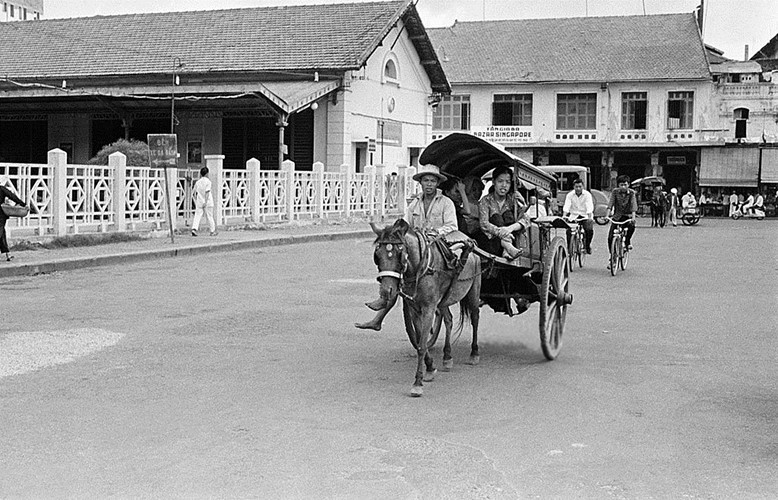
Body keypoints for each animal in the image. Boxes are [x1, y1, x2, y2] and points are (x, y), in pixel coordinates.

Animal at [368, 221, 478, 396]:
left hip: (473, 289)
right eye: (377, 255)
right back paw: (447, 356)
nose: (386, 291)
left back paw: (474, 353)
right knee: (448, 320)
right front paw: (430, 368)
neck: (420, 268)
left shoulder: (428, 309)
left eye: (400, 254)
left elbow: (421, 345)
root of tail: (470, 242)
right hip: (443, 301)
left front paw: (417, 382)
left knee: (475, 318)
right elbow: (421, 340)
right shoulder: (415, 309)